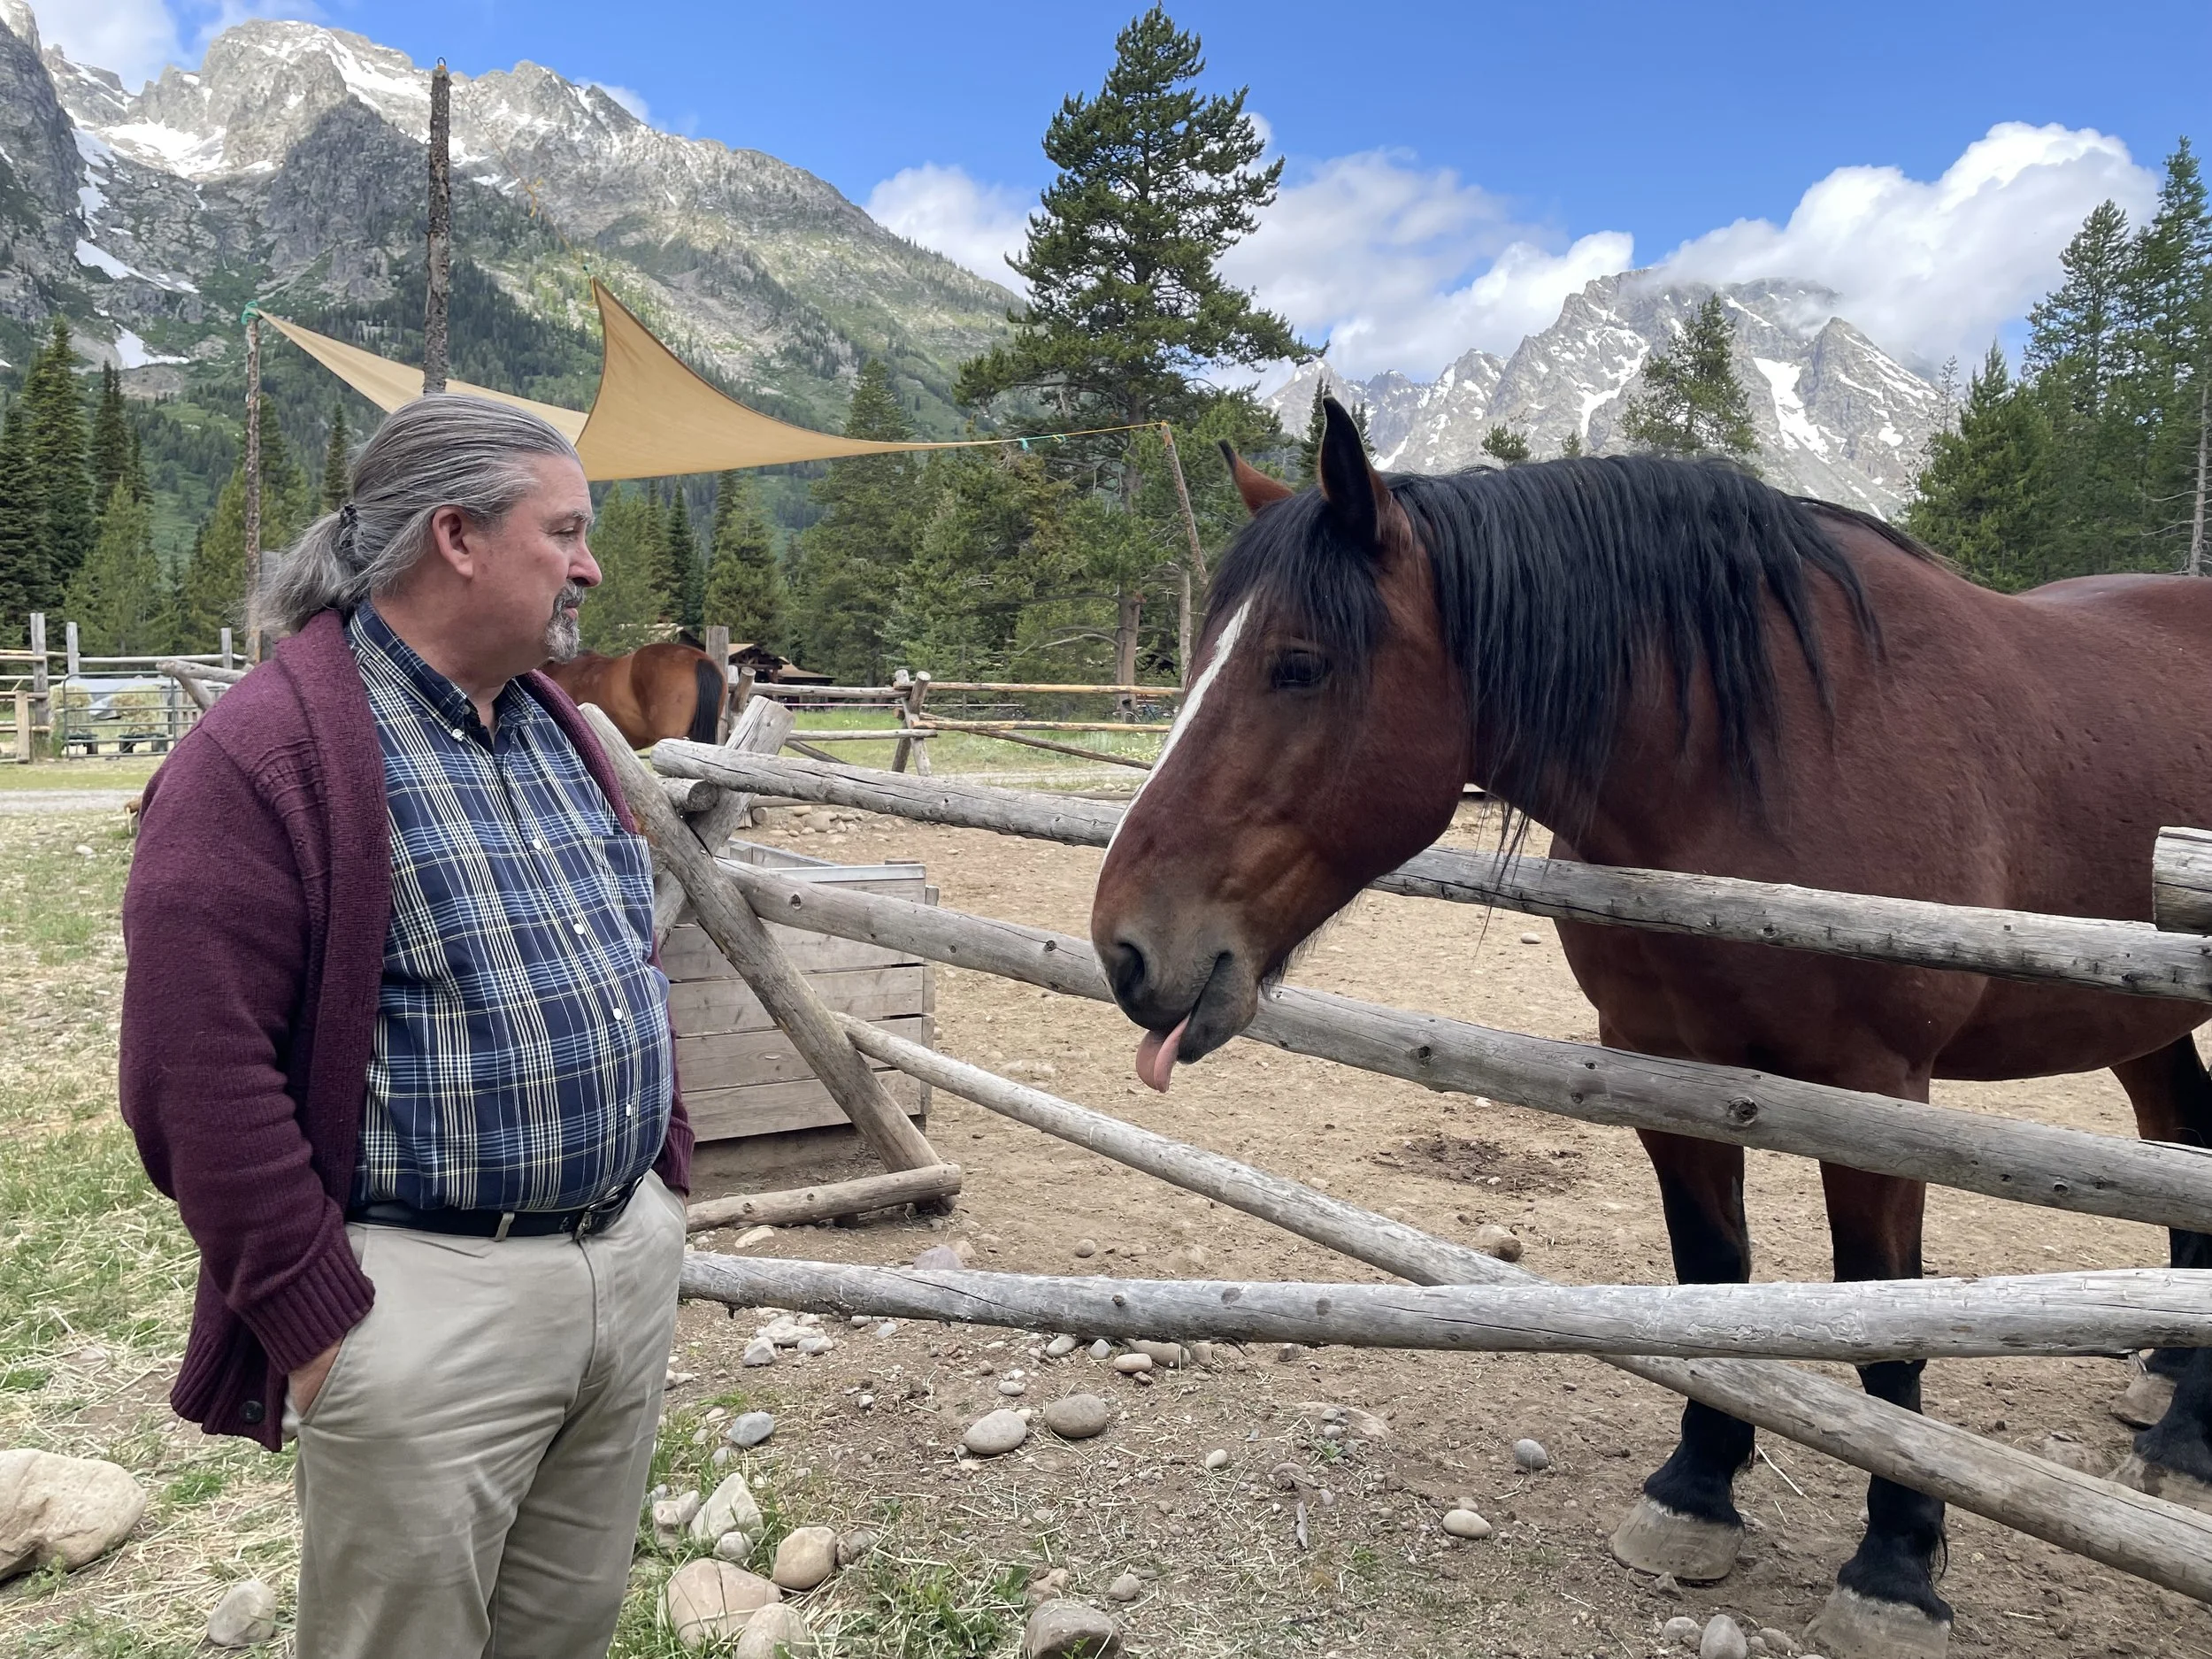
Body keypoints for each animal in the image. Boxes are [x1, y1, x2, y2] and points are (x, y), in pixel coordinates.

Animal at [1088, 398, 2212, 1659]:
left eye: (1298, 666)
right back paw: (2170, 1381)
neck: (1766, 752)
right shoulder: (1661, 1064)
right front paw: (1696, 1493)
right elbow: (1710, 1274)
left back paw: (2183, 1441)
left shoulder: (1879, 1095)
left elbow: (1886, 1315)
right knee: (2181, 1134)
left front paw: (1894, 1567)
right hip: (2143, 1015)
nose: (1125, 950)